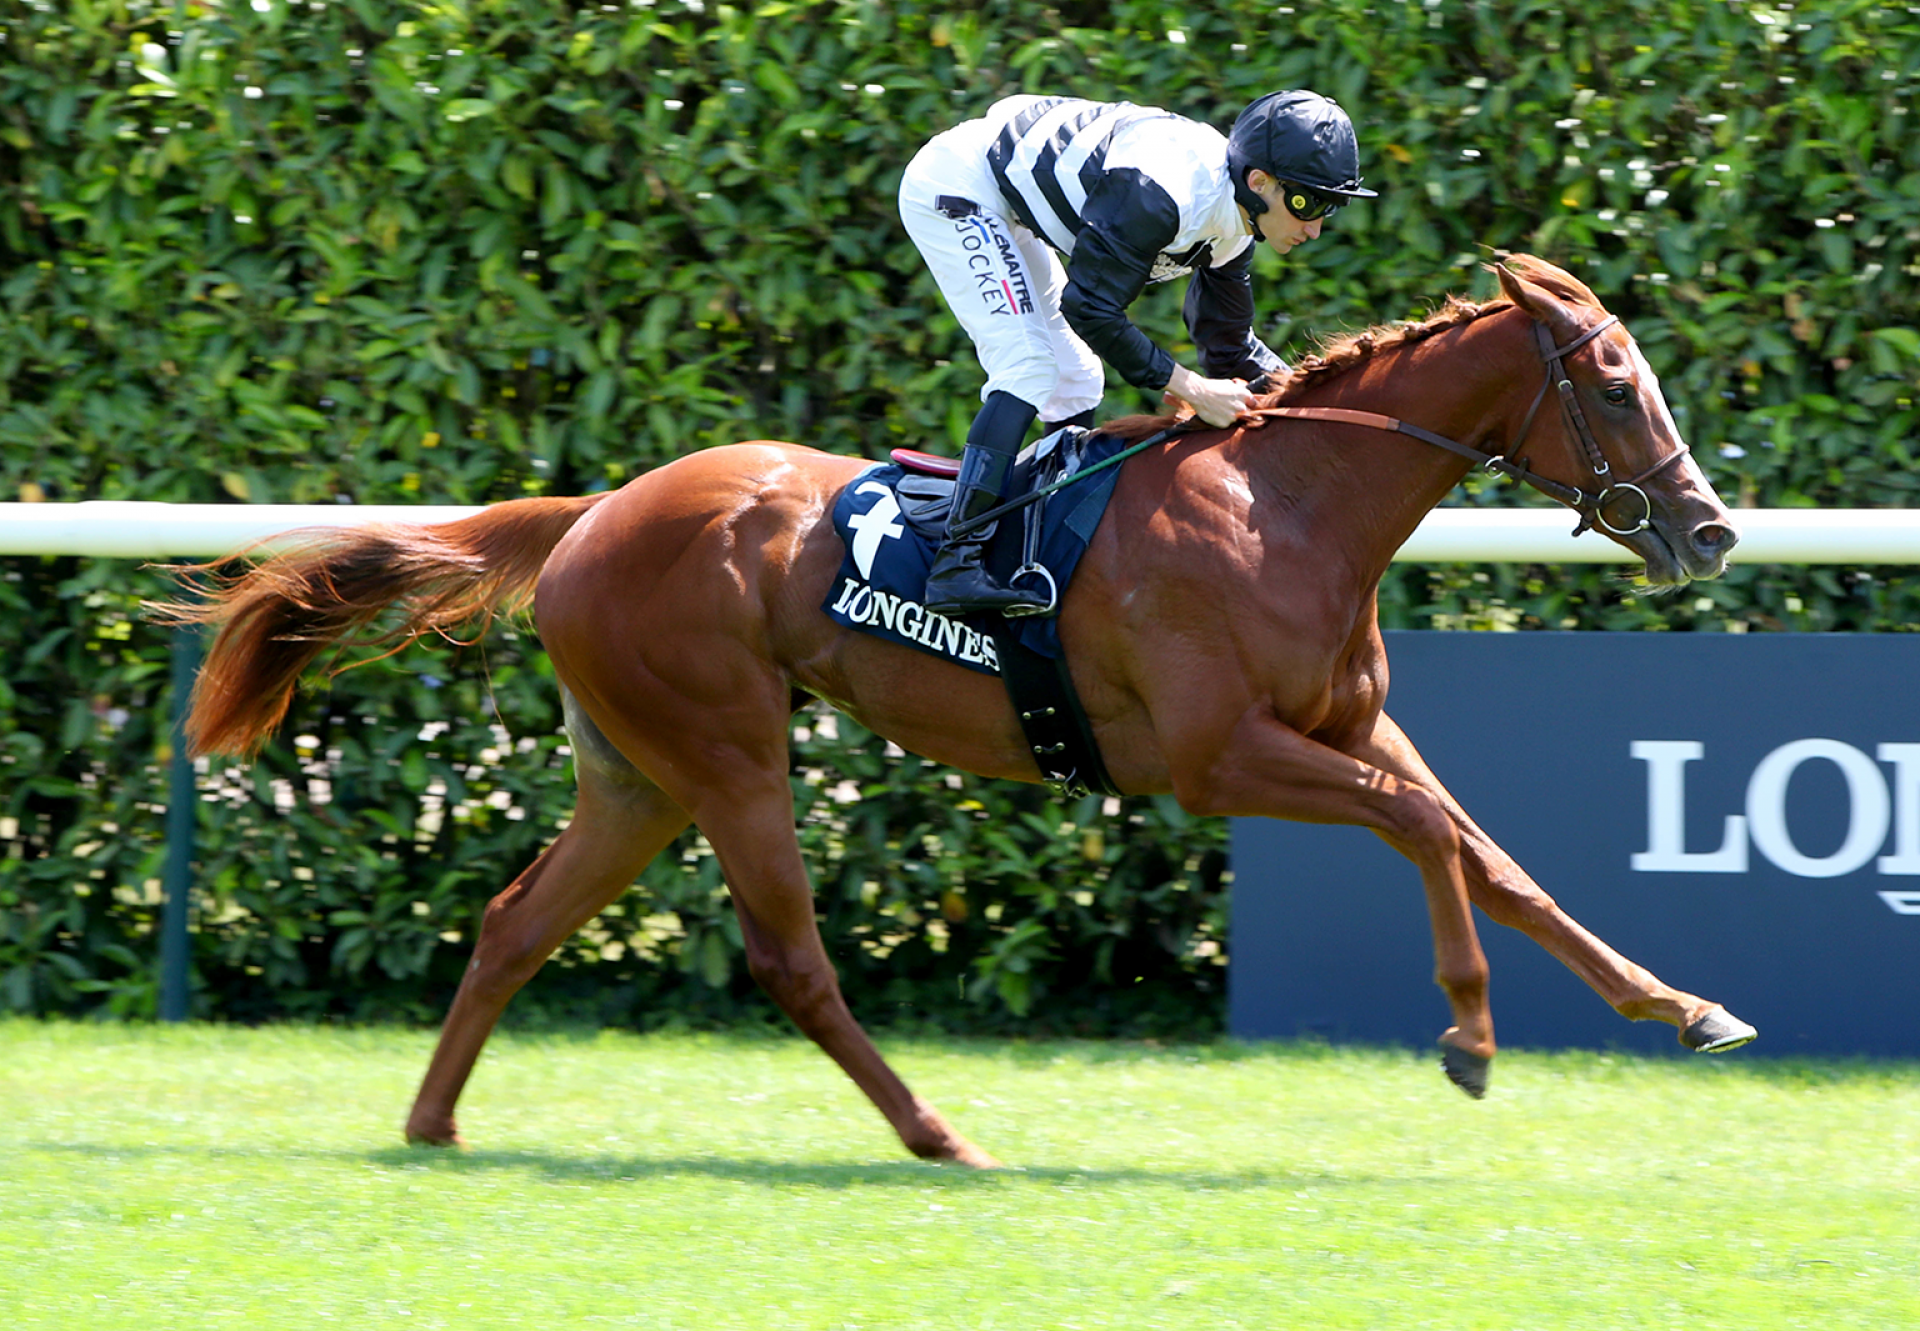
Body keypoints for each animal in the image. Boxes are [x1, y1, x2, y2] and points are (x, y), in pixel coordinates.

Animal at [165, 257, 1758, 1160]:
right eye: (1617, 381)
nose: (1709, 529)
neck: (1285, 502)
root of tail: (594, 513)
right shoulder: (1219, 757)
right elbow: (1426, 831)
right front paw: (1471, 1037)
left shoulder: (1349, 728)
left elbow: (1491, 853)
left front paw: (1682, 1005)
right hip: (727, 745)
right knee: (791, 959)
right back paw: (938, 1132)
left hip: (638, 772)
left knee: (514, 922)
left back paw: (434, 1120)